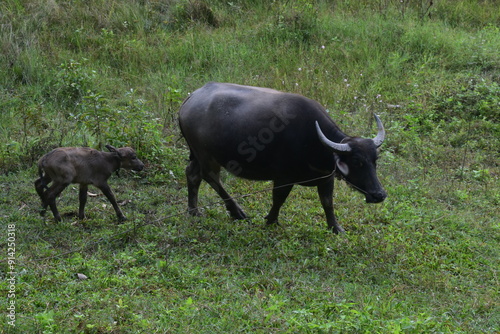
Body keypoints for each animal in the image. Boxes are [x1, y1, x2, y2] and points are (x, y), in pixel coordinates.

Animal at [179, 81, 386, 232]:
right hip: (207, 156)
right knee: (211, 177)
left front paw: (335, 228)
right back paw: (236, 212)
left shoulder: (326, 178)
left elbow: (327, 202)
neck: (314, 142)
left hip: (197, 155)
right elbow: (279, 198)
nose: (379, 194)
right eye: (357, 162)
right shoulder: (284, 177)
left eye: (374, 161)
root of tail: (190, 99)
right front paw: (271, 220)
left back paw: (194, 211)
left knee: (192, 174)